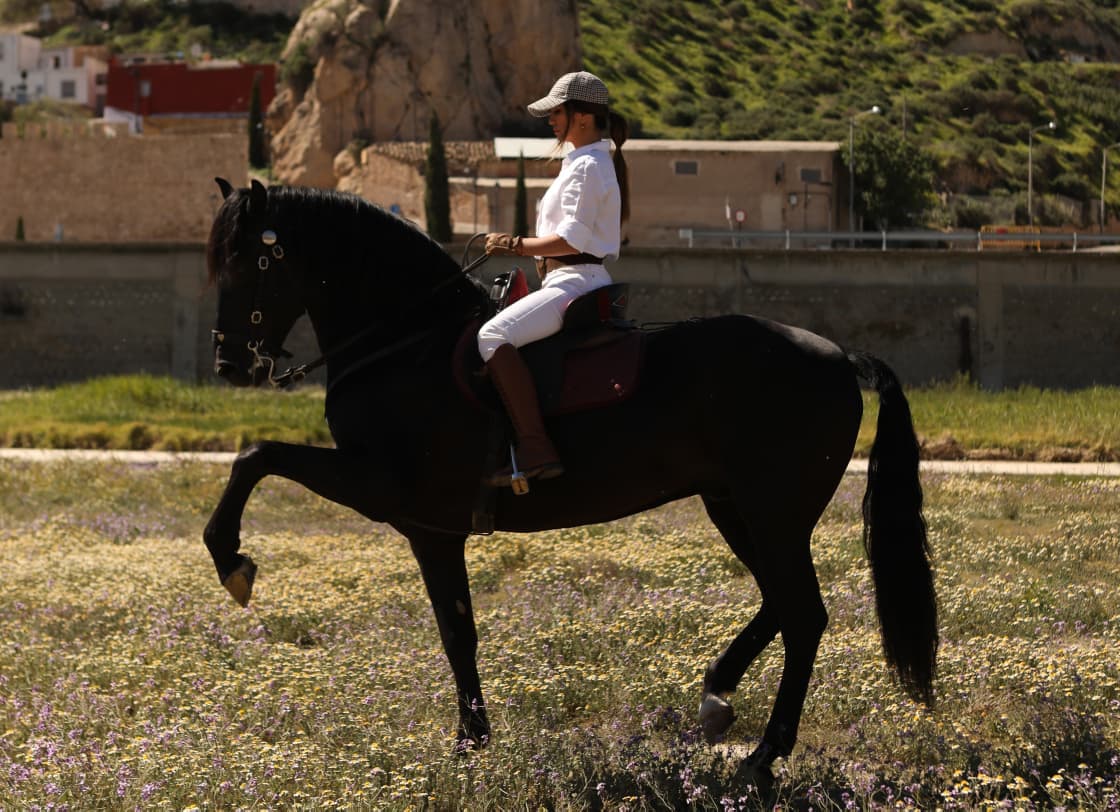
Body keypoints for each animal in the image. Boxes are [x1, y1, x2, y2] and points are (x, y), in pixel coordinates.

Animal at [203, 178, 937, 782]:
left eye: (247, 262)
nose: (230, 366)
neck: (405, 344)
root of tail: (838, 356)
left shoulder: (400, 501)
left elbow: (260, 459)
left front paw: (231, 560)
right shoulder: (417, 516)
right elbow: (455, 626)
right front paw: (474, 739)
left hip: (772, 513)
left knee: (804, 613)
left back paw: (763, 755)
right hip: (736, 507)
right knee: (781, 605)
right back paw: (717, 695)